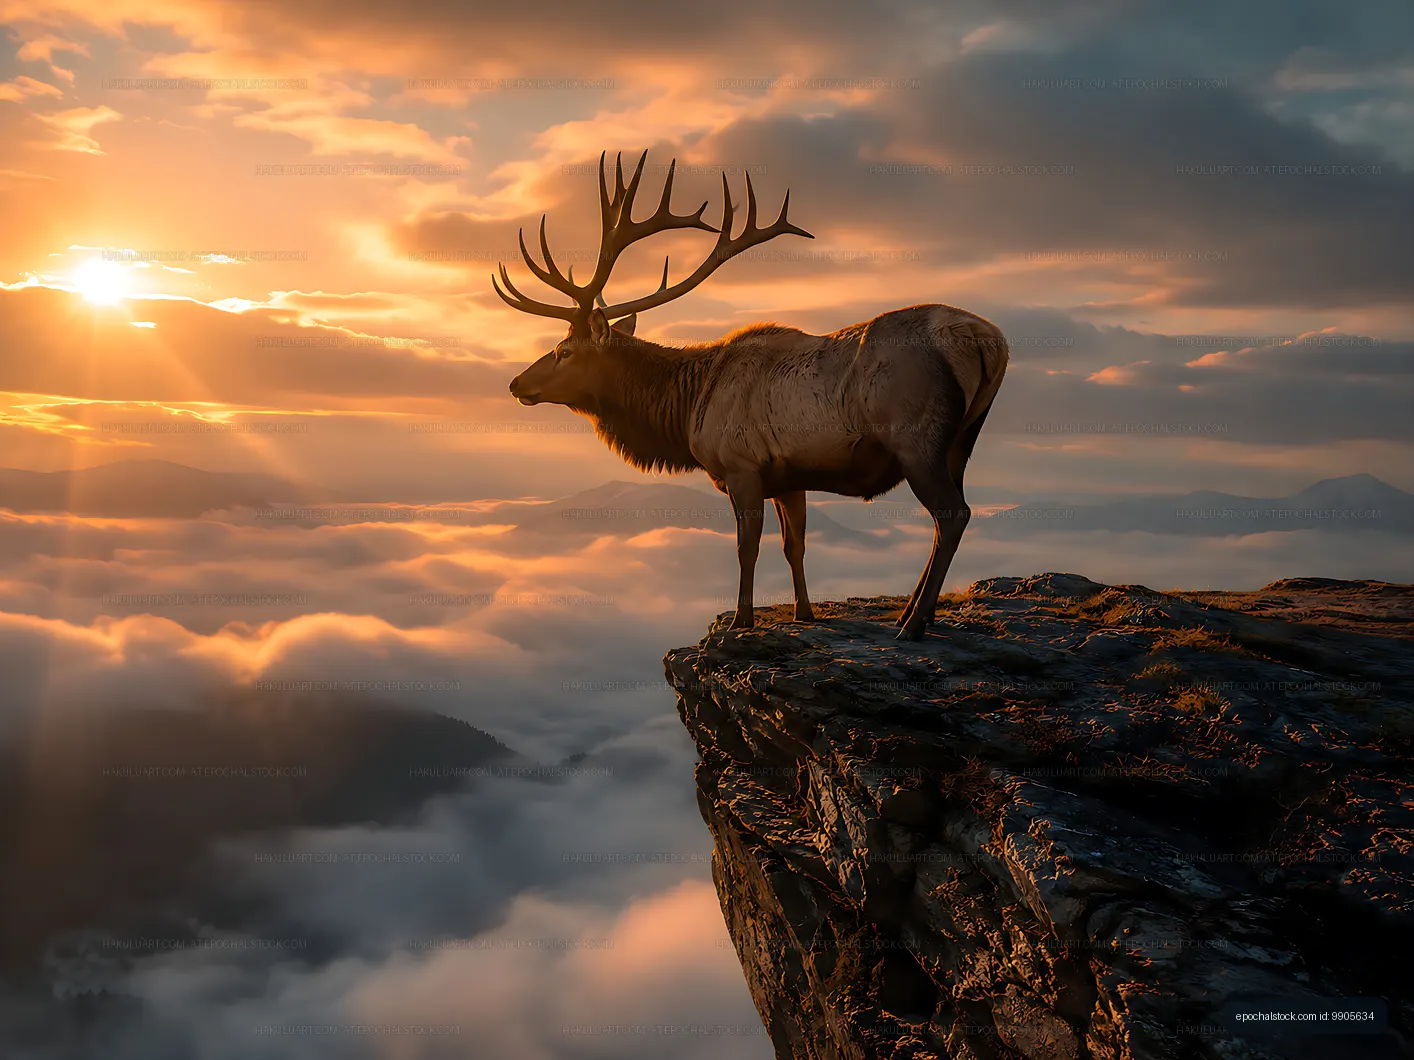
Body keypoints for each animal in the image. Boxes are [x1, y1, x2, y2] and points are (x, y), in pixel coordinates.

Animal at [498, 151, 1008, 639]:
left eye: (564, 351)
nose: (516, 383)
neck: (687, 409)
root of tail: (989, 341)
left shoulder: (740, 467)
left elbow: (747, 547)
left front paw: (742, 619)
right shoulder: (790, 477)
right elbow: (794, 545)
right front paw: (804, 611)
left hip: (916, 440)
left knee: (953, 514)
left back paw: (913, 622)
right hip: (961, 440)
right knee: (950, 516)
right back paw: (917, 612)